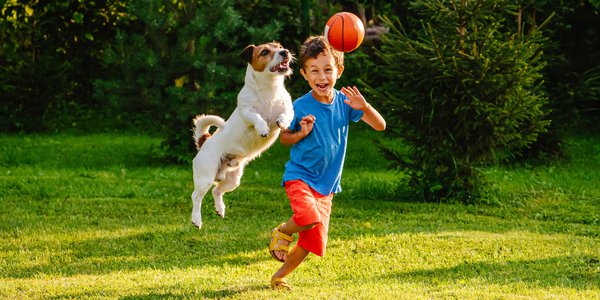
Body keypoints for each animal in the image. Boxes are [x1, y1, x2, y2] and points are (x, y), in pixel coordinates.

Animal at [191, 42, 294, 229]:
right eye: (265, 52)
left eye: (279, 46)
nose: (285, 52)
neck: (269, 90)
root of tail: (205, 141)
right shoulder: (247, 112)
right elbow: (256, 117)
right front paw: (262, 128)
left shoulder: (288, 108)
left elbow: (286, 114)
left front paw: (282, 122)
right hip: (205, 176)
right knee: (196, 197)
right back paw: (196, 220)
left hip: (233, 180)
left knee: (217, 190)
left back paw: (220, 209)